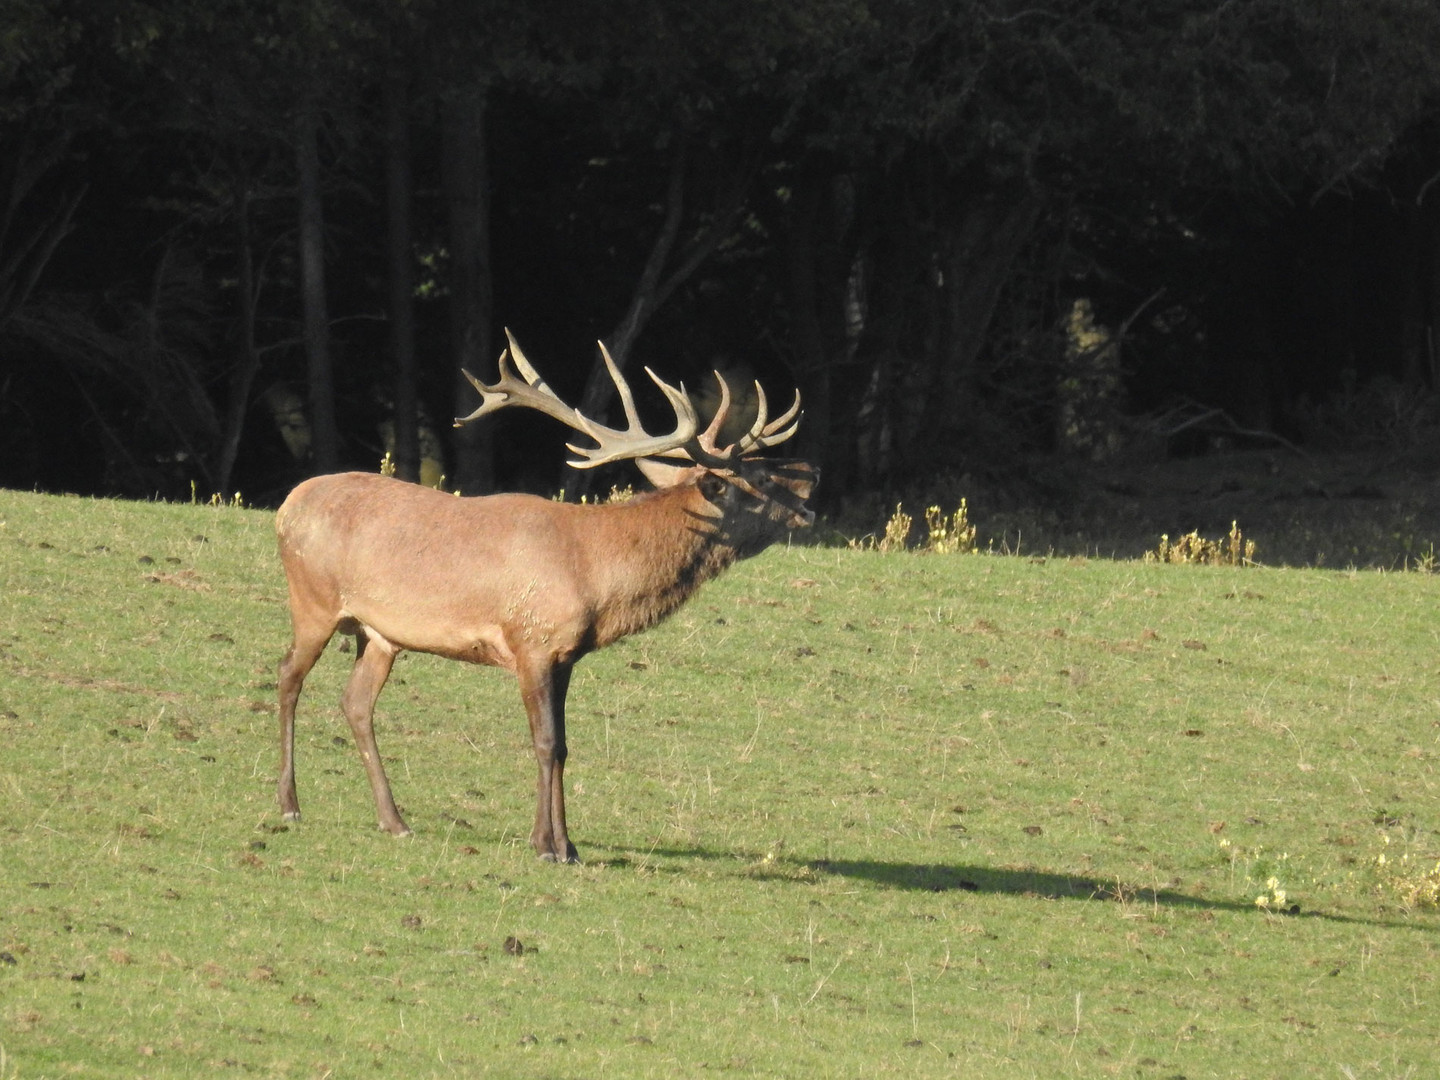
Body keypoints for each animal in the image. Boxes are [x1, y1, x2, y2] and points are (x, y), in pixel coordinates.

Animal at [270, 329, 812, 864]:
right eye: (760, 478)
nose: (813, 474)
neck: (596, 569)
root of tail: (287, 505)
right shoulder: (530, 640)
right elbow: (545, 742)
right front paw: (546, 846)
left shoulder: (566, 654)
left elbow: (565, 745)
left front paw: (566, 845)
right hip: (313, 600)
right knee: (288, 675)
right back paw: (290, 804)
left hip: (379, 632)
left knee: (356, 702)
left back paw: (394, 821)